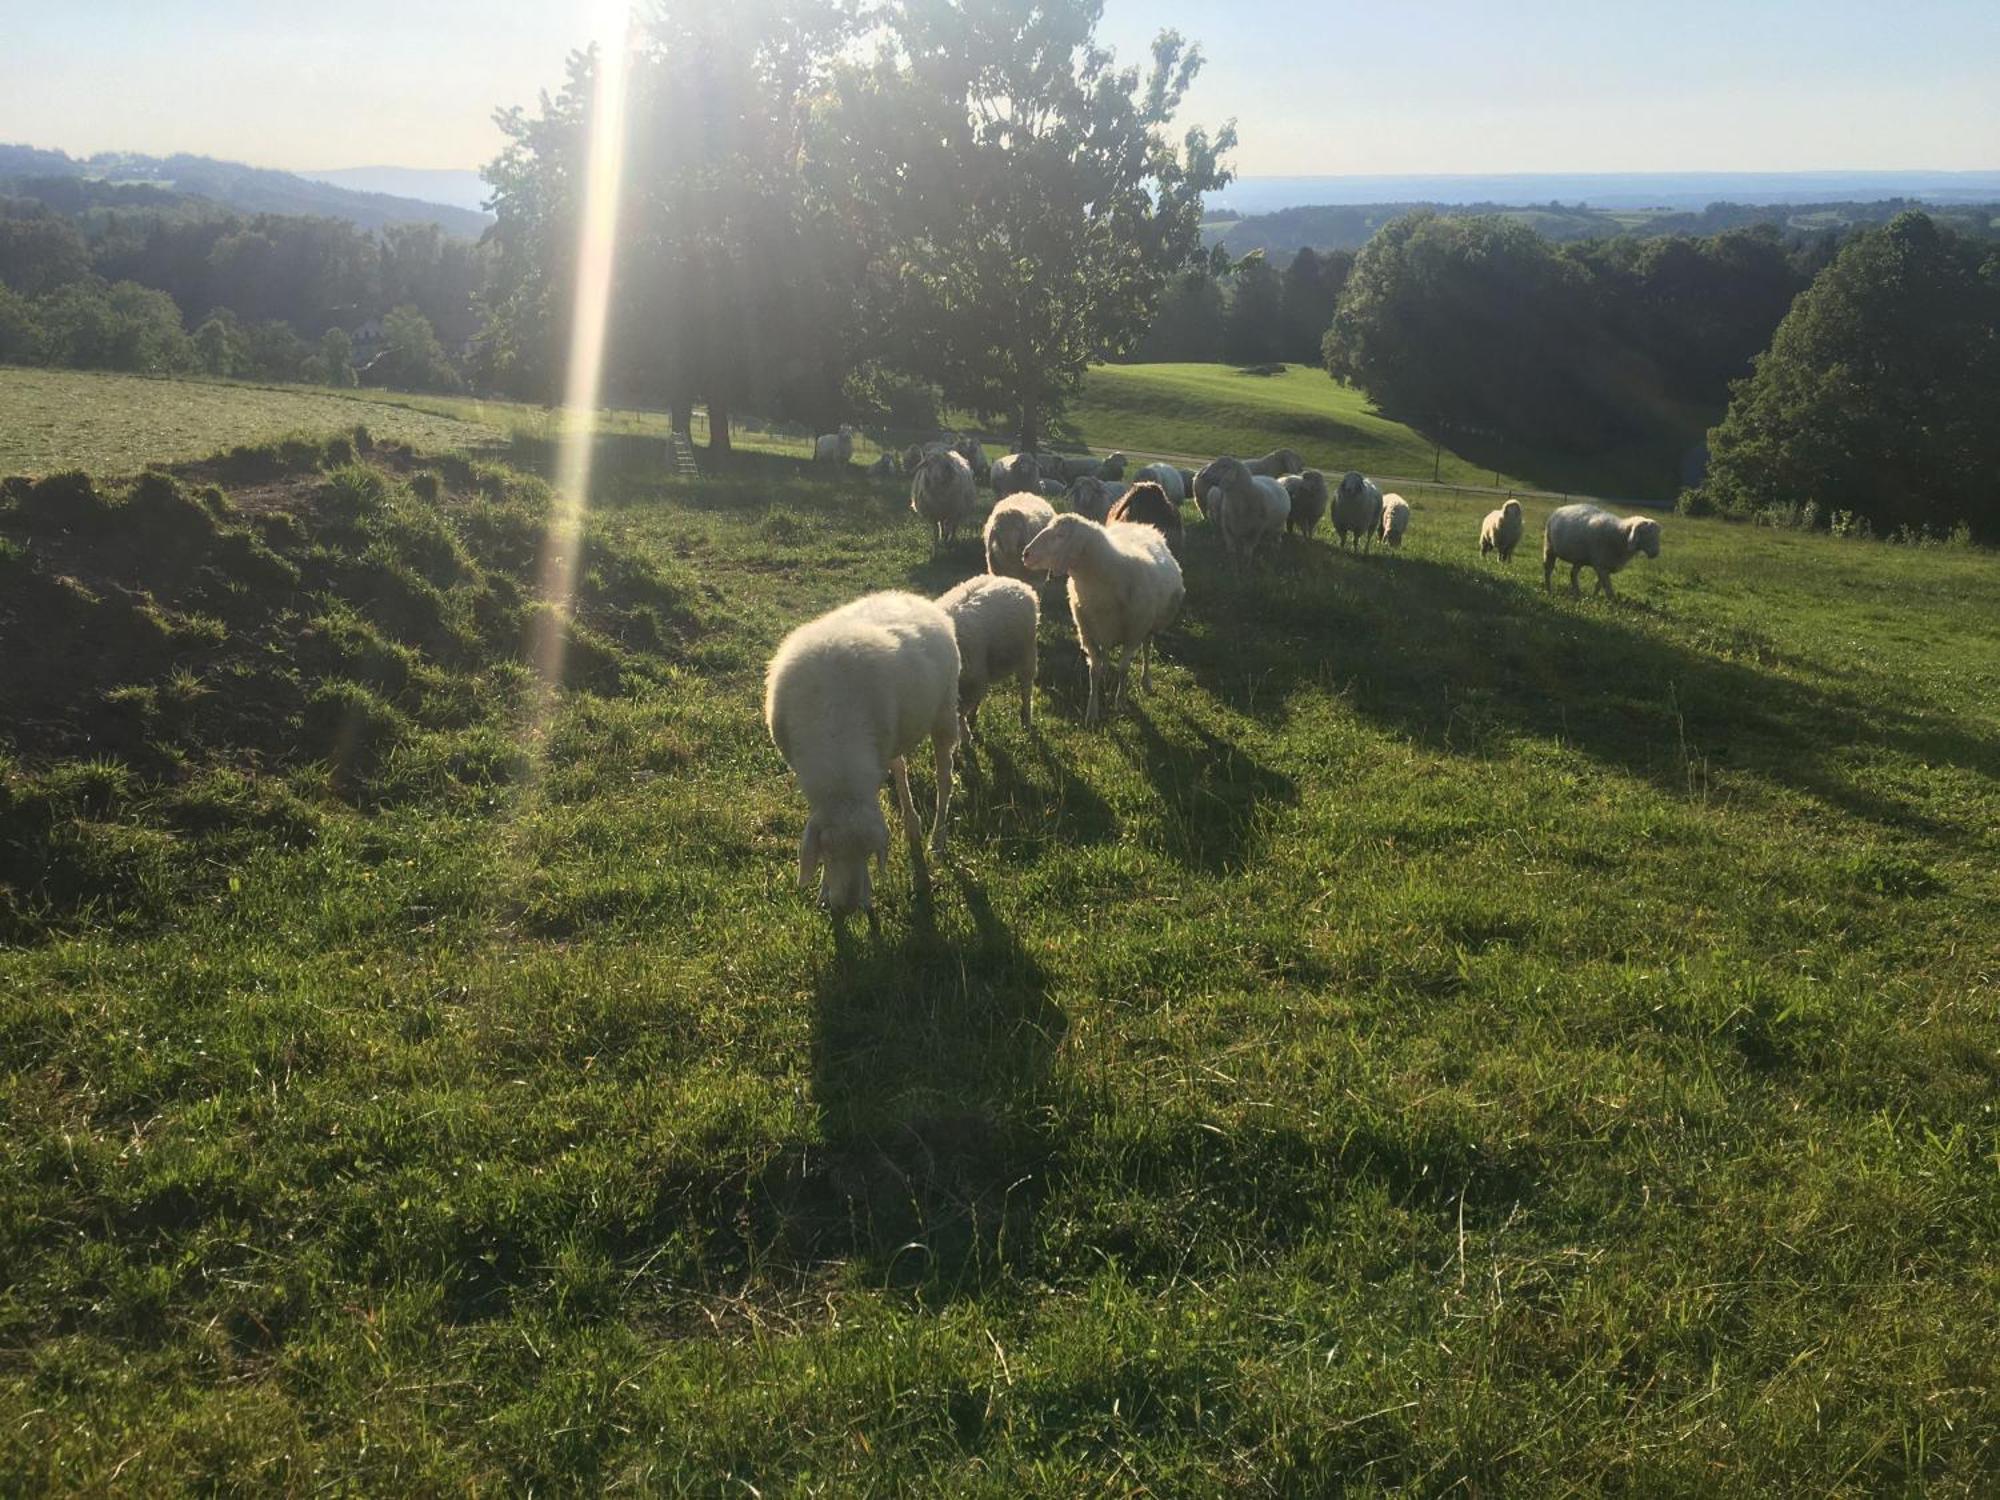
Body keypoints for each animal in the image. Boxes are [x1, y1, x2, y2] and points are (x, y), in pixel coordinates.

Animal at [760, 592, 956, 916]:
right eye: (828, 849)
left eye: (869, 853)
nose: (850, 906)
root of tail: (909, 596)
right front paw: (824, 892)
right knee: (899, 766)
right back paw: (912, 822)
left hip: (945, 714)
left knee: (944, 780)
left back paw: (936, 839)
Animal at [932, 576, 1040, 740]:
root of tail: (1015, 581)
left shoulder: (973, 682)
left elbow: (960, 713)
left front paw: (965, 737)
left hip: (1027, 655)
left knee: (1026, 690)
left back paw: (1026, 721)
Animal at [1024, 516, 1176, 728]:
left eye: (1061, 535)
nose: (1025, 554)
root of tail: (1139, 524)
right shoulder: (1088, 633)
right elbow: (1094, 672)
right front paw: (1092, 712)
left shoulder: (1133, 633)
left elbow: (1123, 669)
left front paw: (1120, 701)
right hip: (1103, 628)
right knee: (1106, 653)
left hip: (1148, 625)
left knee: (1146, 648)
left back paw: (1146, 681)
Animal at [1536, 506, 1664, 600]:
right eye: (1645, 534)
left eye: (1657, 536)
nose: (1655, 553)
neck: (1620, 536)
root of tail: (1561, 508)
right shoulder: (1601, 566)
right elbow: (1608, 588)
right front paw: (1612, 604)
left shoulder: (1605, 566)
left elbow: (1599, 585)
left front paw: (1594, 597)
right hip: (1549, 548)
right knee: (1548, 570)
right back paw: (1549, 590)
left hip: (1579, 558)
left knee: (1573, 574)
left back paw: (1578, 593)